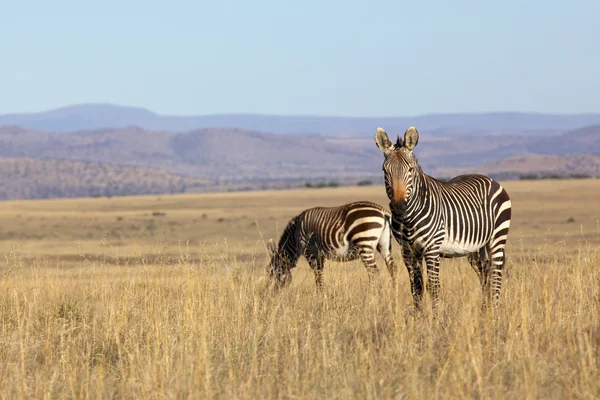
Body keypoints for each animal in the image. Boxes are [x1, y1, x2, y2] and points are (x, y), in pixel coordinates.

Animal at [266, 200, 398, 290]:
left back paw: (372, 297)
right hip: (384, 245)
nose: (271, 294)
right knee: (393, 268)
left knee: (373, 272)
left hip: (364, 242)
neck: (295, 235)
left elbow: (318, 277)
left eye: (271, 271)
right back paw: (393, 294)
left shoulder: (310, 251)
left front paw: (320, 299)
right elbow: (320, 275)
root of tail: (382, 211)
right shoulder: (320, 255)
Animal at [376, 126, 510, 310]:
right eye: (385, 170)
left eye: (410, 169)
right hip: (477, 248)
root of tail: (491, 180)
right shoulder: (407, 251)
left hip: (497, 237)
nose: (398, 206)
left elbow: (433, 287)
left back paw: (494, 311)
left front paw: (436, 317)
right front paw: (418, 316)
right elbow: (416, 287)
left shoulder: (431, 248)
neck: (408, 219)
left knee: (496, 275)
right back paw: (485, 312)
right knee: (485, 274)